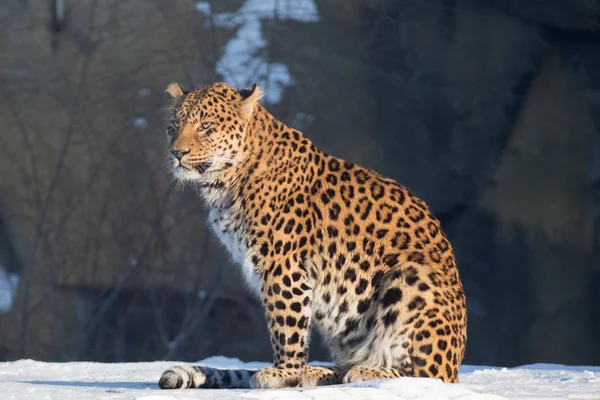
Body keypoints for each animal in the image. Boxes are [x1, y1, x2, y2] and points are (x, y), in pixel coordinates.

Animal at [157, 82, 466, 390]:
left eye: (206, 126)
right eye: (173, 127)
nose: (177, 153)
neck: (225, 182)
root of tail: (457, 358)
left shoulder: (282, 264)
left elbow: (286, 325)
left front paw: (285, 372)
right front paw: (294, 373)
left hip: (412, 278)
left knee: (432, 374)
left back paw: (368, 370)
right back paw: (321, 372)